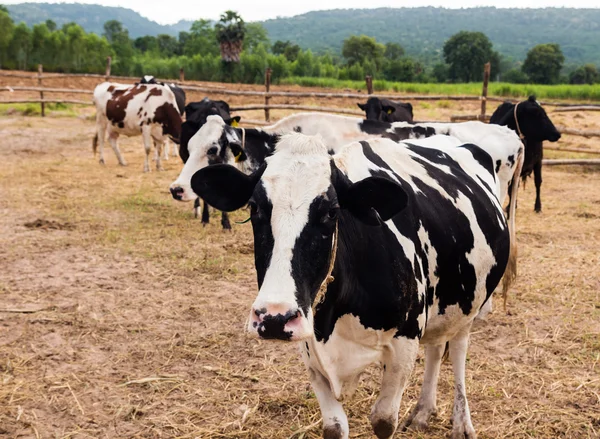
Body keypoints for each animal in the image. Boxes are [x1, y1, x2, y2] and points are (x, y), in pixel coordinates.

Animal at [191, 133, 510, 439]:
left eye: (332, 212)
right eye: (255, 207)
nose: (274, 317)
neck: (335, 315)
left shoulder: (404, 343)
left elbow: (383, 422)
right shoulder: (311, 349)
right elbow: (334, 427)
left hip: (471, 302)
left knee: (457, 350)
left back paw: (462, 423)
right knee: (436, 347)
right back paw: (422, 412)